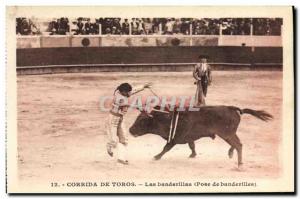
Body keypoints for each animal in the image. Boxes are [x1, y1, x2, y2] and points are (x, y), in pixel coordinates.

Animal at [127, 105, 274, 167]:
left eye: (142, 120)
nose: (130, 130)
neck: (167, 118)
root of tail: (232, 108)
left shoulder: (174, 139)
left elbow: (166, 148)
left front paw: (156, 157)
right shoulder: (189, 138)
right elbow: (192, 146)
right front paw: (193, 155)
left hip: (226, 134)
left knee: (238, 144)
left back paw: (239, 163)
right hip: (228, 134)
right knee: (237, 144)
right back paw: (231, 154)